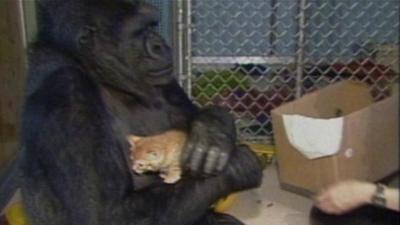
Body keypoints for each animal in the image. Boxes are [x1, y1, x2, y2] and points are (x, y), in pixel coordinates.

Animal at [18, 0, 264, 225]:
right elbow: (103, 214)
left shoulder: (162, 78)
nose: (159, 44)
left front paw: (212, 132)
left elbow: (191, 115)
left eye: (152, 26)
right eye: (138, 31)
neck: (100, 75)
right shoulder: (67, 93)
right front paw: (238, 166)